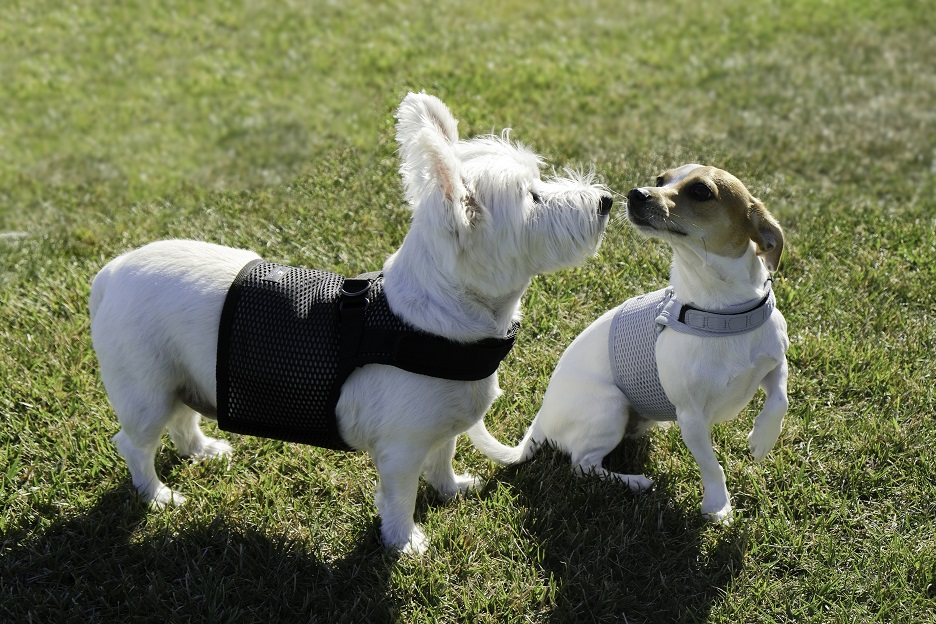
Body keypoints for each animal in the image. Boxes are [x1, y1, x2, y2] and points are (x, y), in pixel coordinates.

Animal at [89, 92, 613, 554]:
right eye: (534, 198)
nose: (607, 199)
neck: (437, 321)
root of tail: (107, 276)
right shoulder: (401, 450)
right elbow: (401, 497)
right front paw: (405, 543)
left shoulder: (441, 428)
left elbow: (444, 457)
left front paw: (452, 489)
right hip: (146, 390)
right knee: (134, 444)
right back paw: (157, 495)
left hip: (182, 376)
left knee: (182, 419)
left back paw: (201, 451)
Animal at [468, 164, 789, 523]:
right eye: (662, 179)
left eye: (701, 191)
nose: (636, 194)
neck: (722, 314)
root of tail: (539, 421)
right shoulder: (692, 418)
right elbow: (711, 464)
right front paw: (718, 505)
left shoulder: (776, 363)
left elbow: (780, 399)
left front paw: (762, 440)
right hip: (611, 408)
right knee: (583, 465)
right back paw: (634, 481)